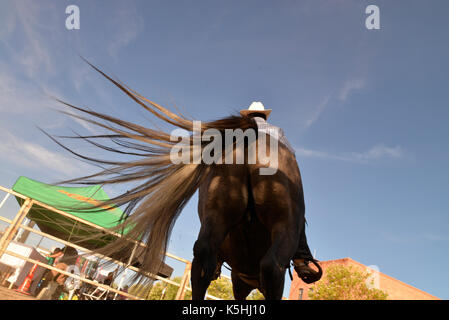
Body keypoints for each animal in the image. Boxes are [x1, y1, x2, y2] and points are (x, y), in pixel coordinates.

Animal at [49, 63, 308, 300]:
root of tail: (250, 134)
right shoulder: (240, 281)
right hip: (283, 228)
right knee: (271, 266)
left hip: (217, 220)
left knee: (203, 258)